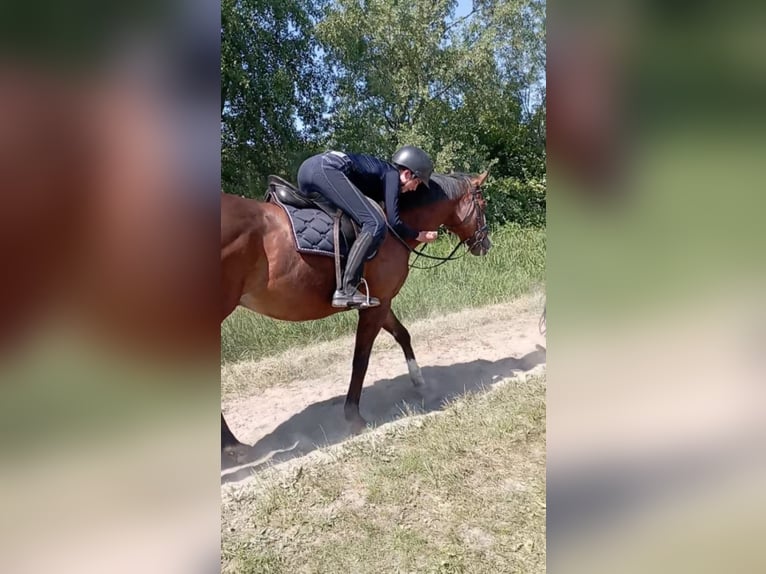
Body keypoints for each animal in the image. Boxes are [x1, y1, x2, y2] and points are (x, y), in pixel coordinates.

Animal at [221, 171, 491, 448]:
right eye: (482, 205)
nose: (486, 244)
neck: (392, 228)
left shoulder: (380, 301)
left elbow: (402, 334)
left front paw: (419, 380)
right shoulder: (375, 306)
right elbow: (361, 358)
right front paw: (353, 415)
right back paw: (231, 446)